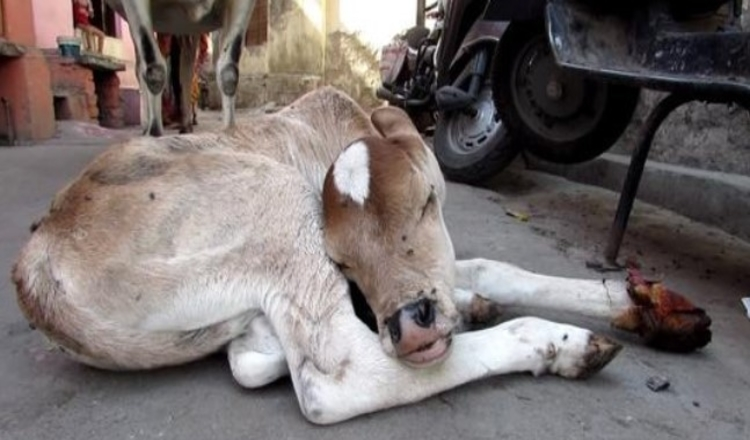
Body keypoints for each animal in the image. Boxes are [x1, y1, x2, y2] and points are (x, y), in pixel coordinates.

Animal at [13, 87, 716, 426]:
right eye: (344, 259)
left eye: (427, 205)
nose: (411, 324)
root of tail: (35, 262)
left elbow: (494, 267)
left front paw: (638, 302)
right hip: (279, 203)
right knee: (336, 381)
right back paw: (556, 342)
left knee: (258, 357)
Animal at [104, 0, 258, 136]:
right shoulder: (133, 4)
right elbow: (154, 67)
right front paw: (154, 131)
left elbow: (229, 71)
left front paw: (229, 130)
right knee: (140, 68)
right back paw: (147, 125)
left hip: (189, 28)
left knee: (187, 66)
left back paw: (186, 124)